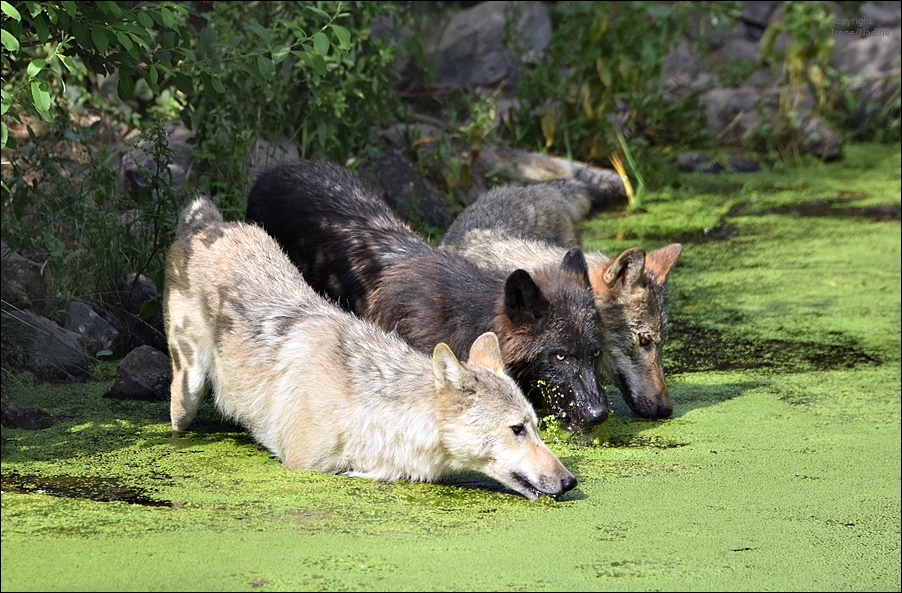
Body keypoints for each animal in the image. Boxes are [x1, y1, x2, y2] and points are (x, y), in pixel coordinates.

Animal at [162, 195, 576, 500]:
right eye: (517, 429)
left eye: (536, 426)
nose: (570, 481)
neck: (367, 410)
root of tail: (210, 223)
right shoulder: (303, 468)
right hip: (188, 391)